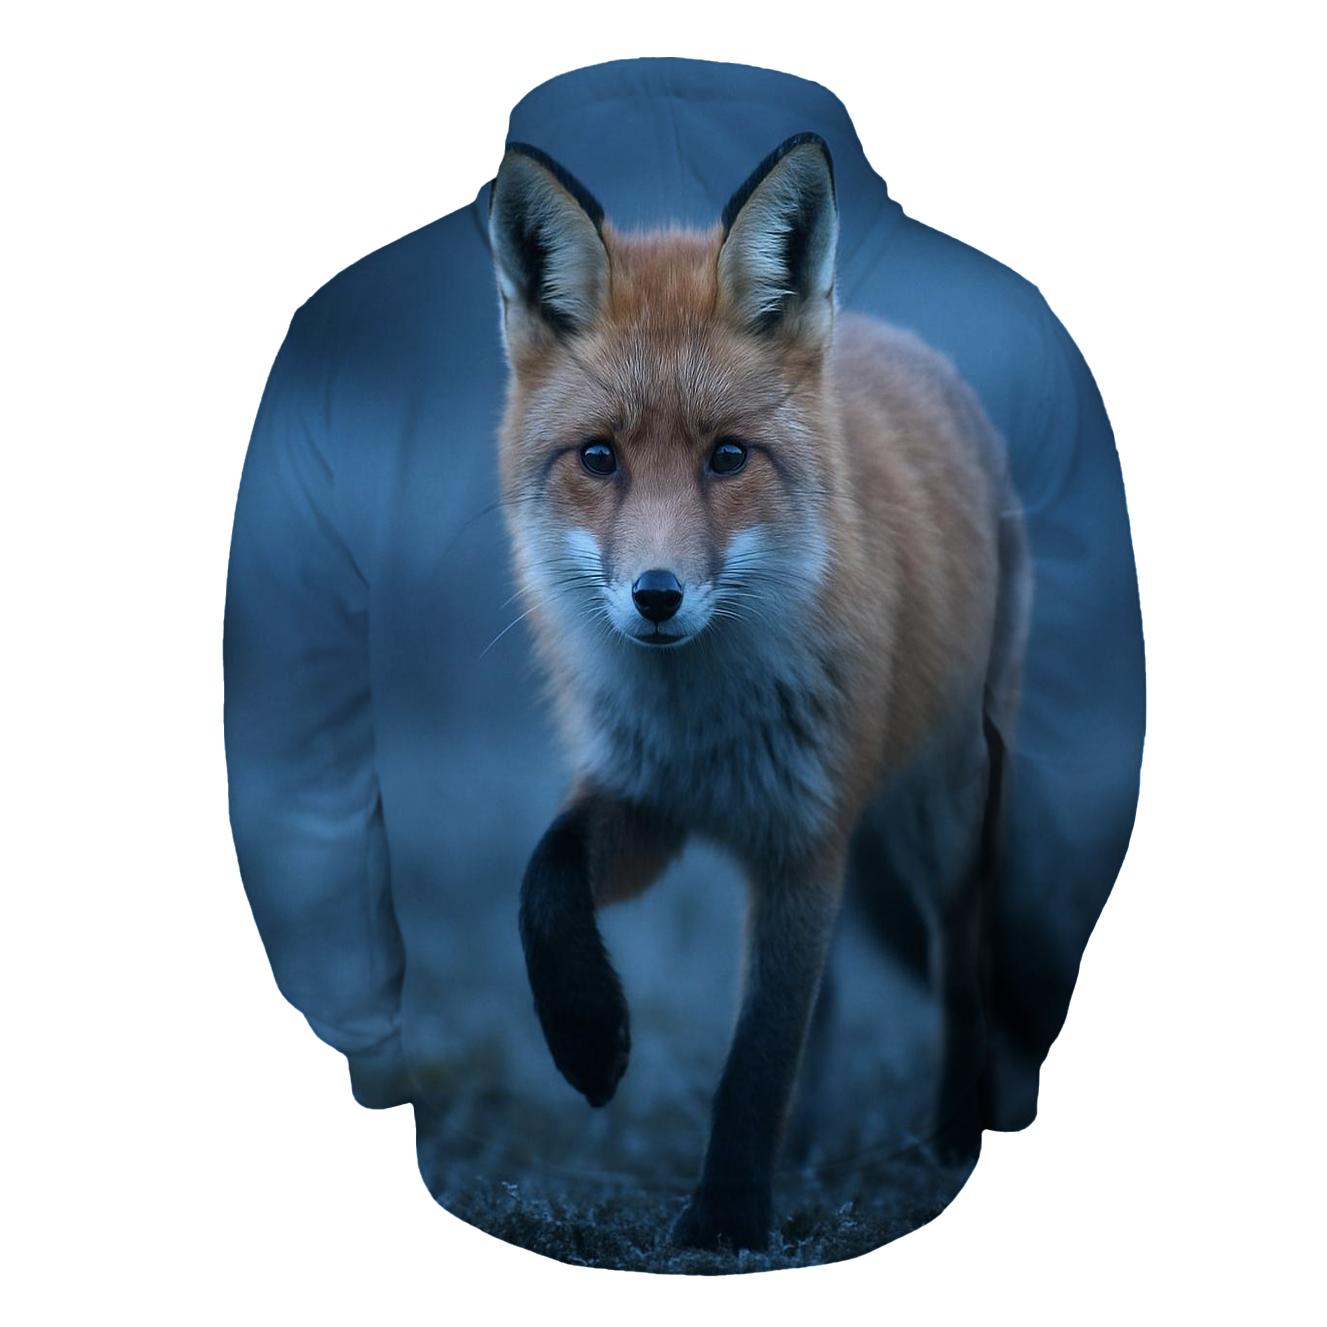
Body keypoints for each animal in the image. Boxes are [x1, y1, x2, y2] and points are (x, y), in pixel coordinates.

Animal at [487, 133, 1030, 1253]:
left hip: (939, 823)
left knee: (959, 966)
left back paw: (950, 1141)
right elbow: (544, 882)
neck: (703, 721)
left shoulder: (803, 834)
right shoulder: (646, 801)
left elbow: (758, 1053)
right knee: (829, 1009)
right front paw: (586, 1035)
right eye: (598, 458)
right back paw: (813, 1142)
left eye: (726, 456)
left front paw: (726, 1221)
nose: (656, 596)